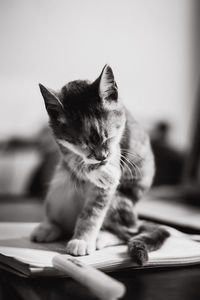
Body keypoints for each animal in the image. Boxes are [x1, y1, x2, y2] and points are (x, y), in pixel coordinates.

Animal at [30, 64, 169, 264]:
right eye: (82, 144)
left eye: (109, 137)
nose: (102, 157)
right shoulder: (62, 146)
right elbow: (75, 161)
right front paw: (93, 169)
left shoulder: (117, 154)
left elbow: (93, 212)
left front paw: (82, 240)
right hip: (57, 190)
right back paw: (50, 228)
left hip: (121, 200)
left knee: (127, 232)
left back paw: (101, 237)